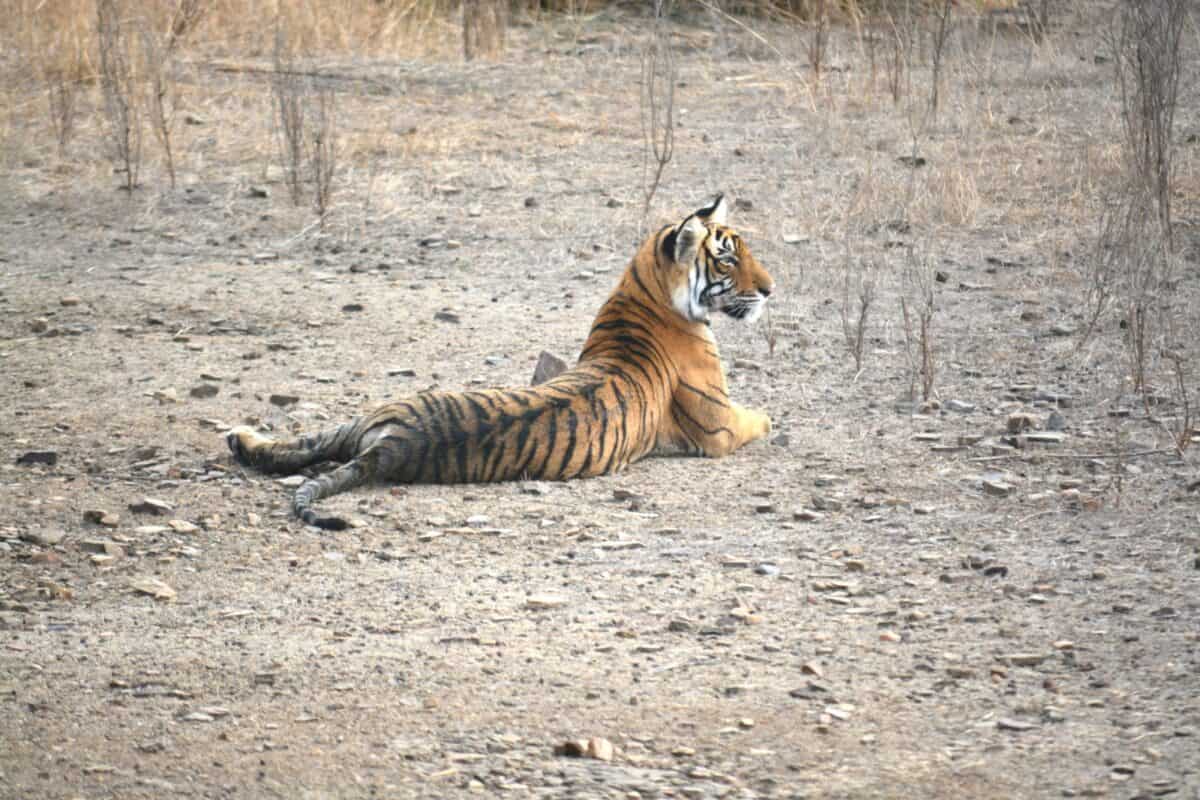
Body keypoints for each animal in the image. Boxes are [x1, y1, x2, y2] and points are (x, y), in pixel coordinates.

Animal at [226, 194, 775, 530]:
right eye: (728, 259)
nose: (771, 290)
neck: (643, 288)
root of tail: (390, 443)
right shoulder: (719, 425)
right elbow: (762, 418)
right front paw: (774, 420)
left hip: (364, 419)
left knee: (301, 446)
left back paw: (240, 439)